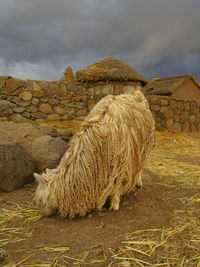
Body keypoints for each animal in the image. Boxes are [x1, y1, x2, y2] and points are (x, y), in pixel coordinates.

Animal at [34, 91, 155, 219]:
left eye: (41, 199)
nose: (44, 213)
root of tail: (136, 93)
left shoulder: (122, 162)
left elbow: (117, 183)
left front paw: (114, 203)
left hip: (144, 146)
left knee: (141, 165)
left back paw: (138, 182)